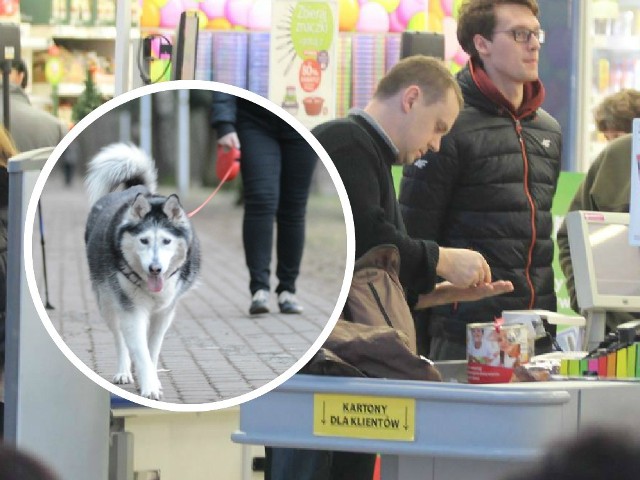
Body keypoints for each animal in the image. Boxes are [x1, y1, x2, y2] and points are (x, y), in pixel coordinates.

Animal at [85, 144, 199, 400]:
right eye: (144, 240)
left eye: (166, 241)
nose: (155, 268)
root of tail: (135, 188)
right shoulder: (131, 311)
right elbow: (139, 349)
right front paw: (149, 386)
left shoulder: (165, 312)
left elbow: (152, 349)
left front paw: (152, 380)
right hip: (106, 303)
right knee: (119, 338)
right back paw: (124, 371)